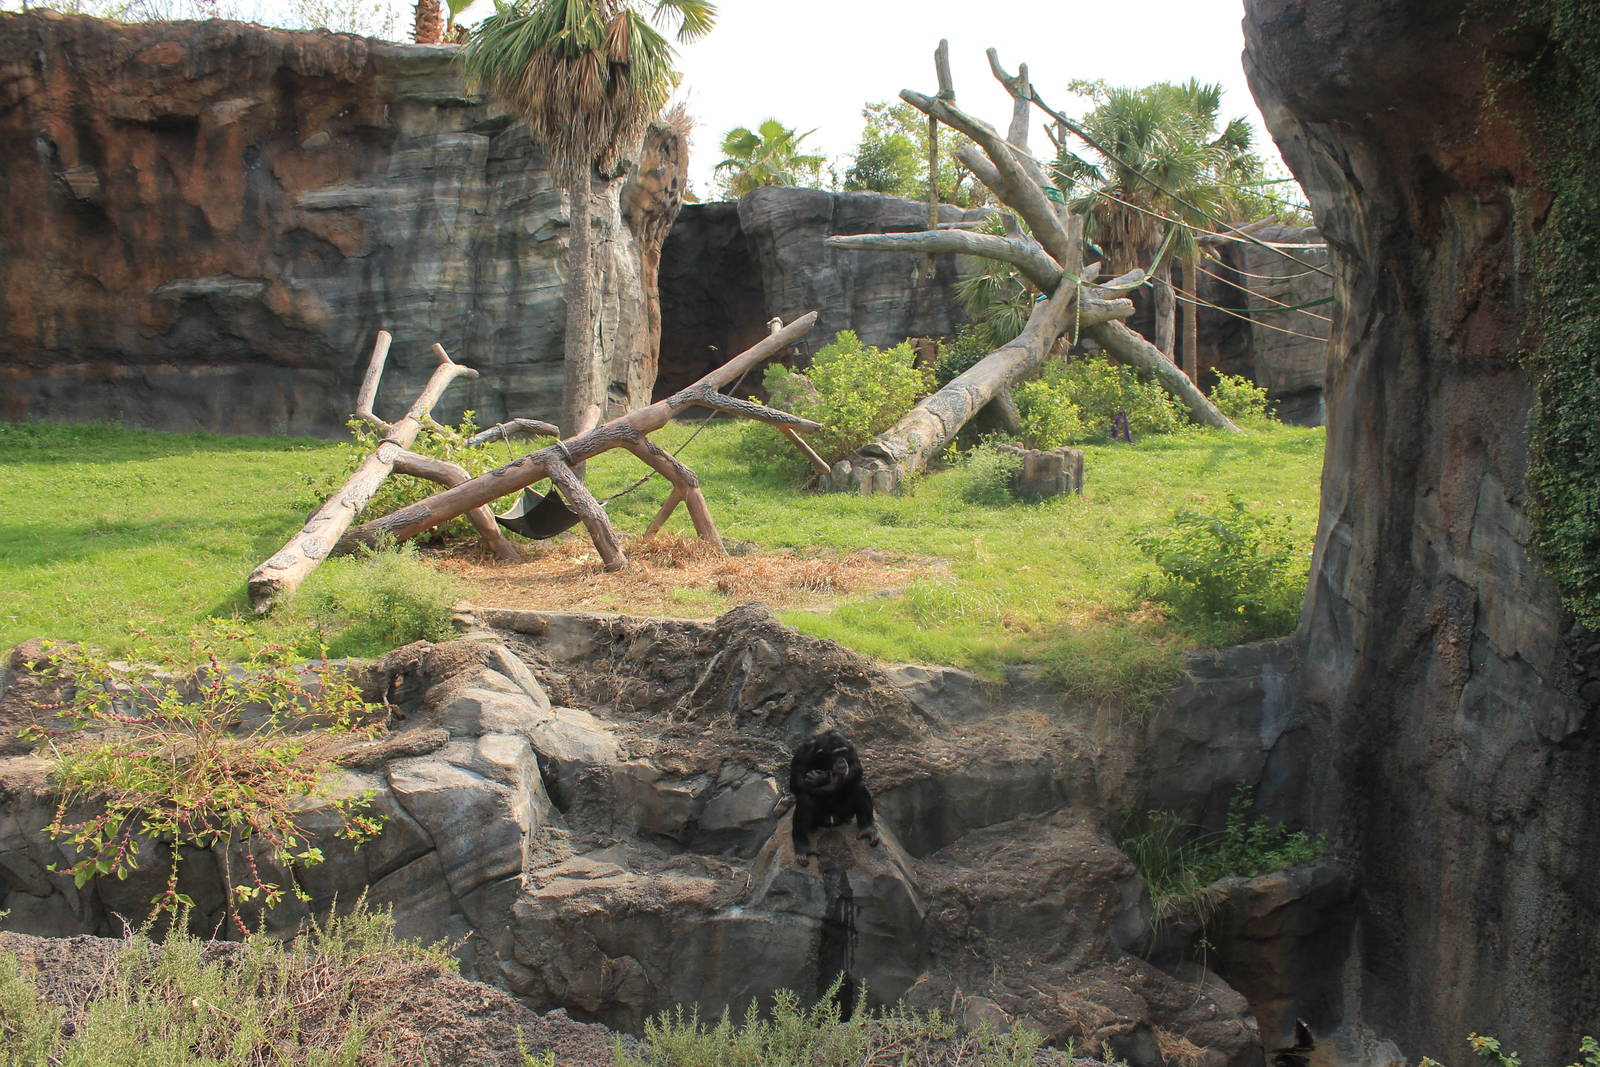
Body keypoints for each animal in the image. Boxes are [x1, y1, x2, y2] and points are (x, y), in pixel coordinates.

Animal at [789, 729, 879, 866]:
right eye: (836, 754)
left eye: (844, 752)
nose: (842, 760)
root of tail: (832, 819)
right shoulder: (802, 752)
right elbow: (797, 781)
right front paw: (827, 778)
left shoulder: (850, 747)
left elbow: (856, 768)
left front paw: (825, 778)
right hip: (819, 819)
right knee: (806, 799)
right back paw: (802, 847)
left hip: (845, 813)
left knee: (858, 786)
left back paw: (867, 828)